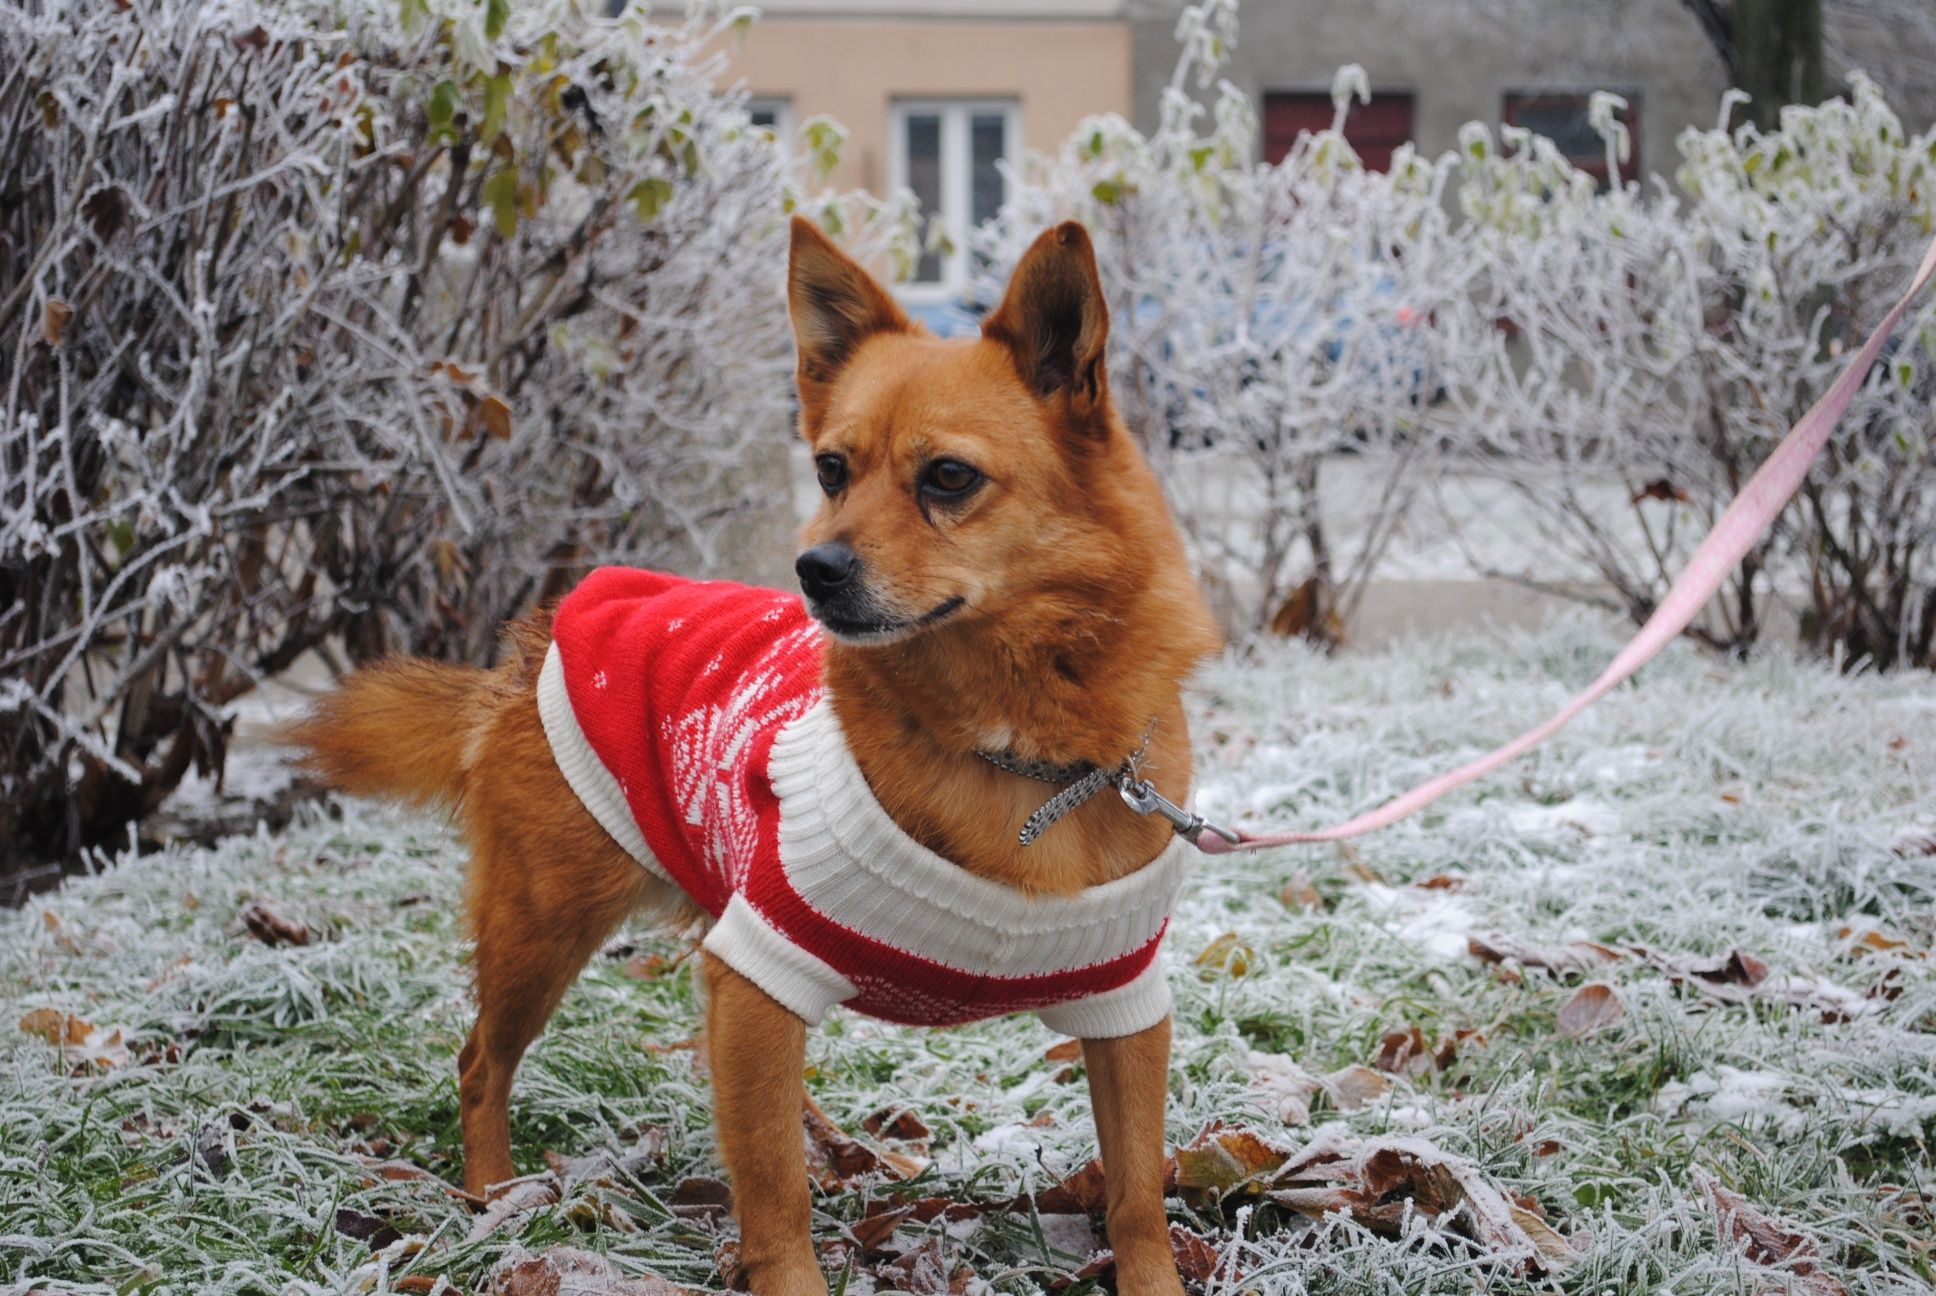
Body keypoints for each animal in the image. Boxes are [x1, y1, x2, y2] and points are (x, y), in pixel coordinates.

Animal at [294, 216, 1215, 1286]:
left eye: (949, 477)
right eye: (830, 471)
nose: (815, 569)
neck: (1008, 745)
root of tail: (534, 646)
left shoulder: (1125, 1008)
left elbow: (1137, 1189)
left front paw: (1152, 1281)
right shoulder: (764, 962)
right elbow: (773, 1200)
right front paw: (786, 1267)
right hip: (545, 927)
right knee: (485, 1063)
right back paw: (493, 1199)